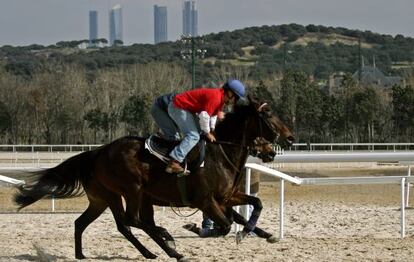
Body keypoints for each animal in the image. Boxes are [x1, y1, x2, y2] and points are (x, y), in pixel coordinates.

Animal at [13, 96, 294, 262]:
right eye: (269, 115)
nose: (289, 139)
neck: (220, 152)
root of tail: (98, 152)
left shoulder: (226, 196)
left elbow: (253, 207)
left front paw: (262, 233)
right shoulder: (206, 201)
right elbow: (224, 225)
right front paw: (194, 228)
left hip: (105, 198)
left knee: (93, 223)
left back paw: (87, 254)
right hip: (131, 190)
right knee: (132, 221)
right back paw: (168, 245)